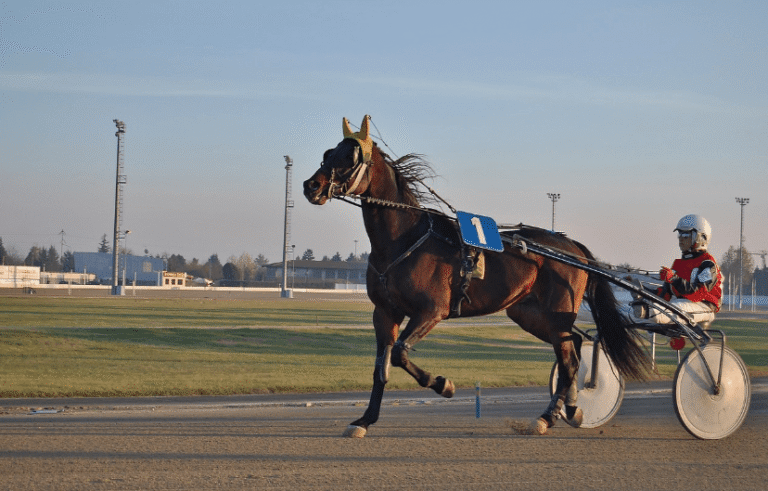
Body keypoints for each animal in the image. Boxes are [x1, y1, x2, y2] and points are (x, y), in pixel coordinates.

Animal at [303, 116, 650, 438]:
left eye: (350, 157)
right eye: (329, 152)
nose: (311, 186)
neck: (403, 239)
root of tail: (571, 246)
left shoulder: (432, 310)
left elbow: (400, 353)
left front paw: (443, 384)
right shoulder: (385, 312)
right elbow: (381, 368)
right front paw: (363, 420)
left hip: (557, 310)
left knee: (568, 360)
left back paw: (547, 417)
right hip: (529, 313)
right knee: (573, 346)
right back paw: (573, 409)